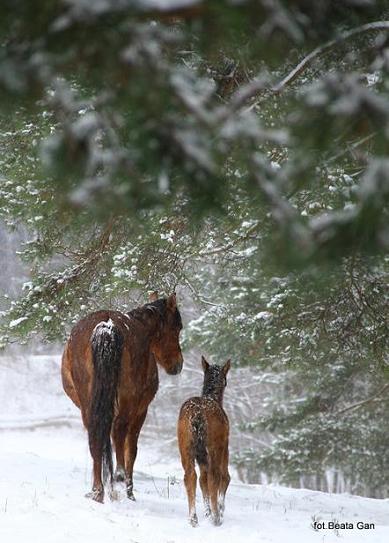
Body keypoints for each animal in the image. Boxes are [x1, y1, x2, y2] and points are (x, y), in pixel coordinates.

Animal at [61, 296, 183, 504]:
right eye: (177, 328)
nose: (178, 364)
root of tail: (107, 325)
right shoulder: (141, 411)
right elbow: (131, 450)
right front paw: (129, 491)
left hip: (89, 405)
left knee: (96, 438)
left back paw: (98, 491)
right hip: (128, 403)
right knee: (119, 432)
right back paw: (118, 476)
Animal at [177, 356, 229, 528]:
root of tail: (197, 414)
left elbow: (202, 479)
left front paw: (207, 512)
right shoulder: (225, 446)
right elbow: (225, 477)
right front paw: (218, 510)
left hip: (185, 445)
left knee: (191, 476)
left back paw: (193, 518)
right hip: (214, 447)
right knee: (216, 475)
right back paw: (216, 518)